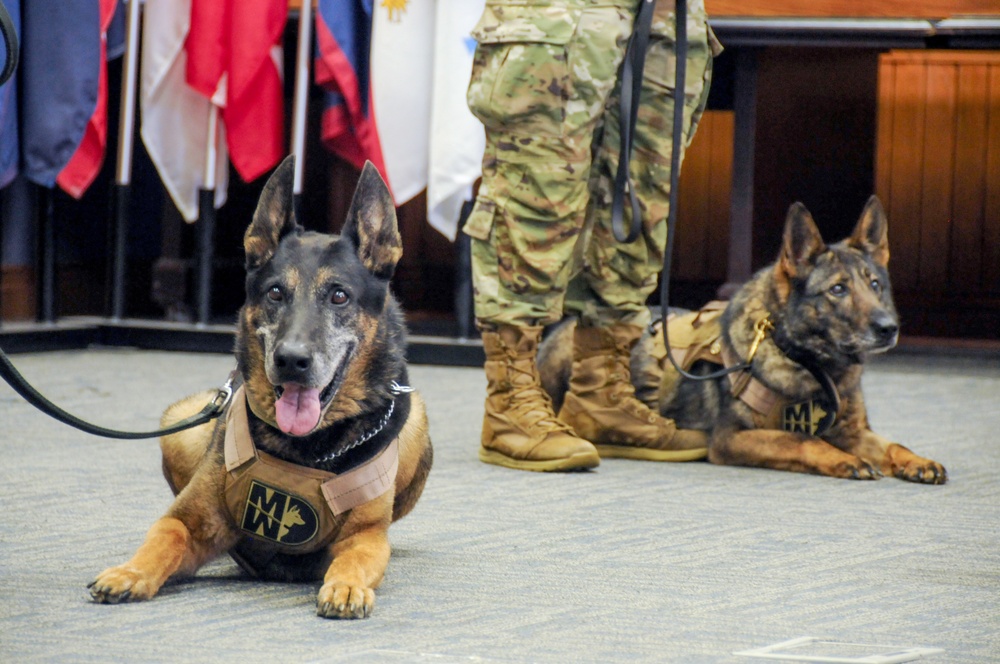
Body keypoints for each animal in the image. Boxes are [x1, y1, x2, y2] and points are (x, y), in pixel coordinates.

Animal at [87, 157, 430, 616]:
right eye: (275, 293)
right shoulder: (187, 518)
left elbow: (354, 559)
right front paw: (130, 571)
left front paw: (346, 586)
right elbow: (164, 537)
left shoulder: (367, 536)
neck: (306, 447)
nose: (291, 361)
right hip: (181, 424)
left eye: (339, 296)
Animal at [540, 197, 944, 482]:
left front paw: (916, 461)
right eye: (838, 290)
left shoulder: (855, 431)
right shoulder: (732, 438)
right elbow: (802, 439)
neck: (809, 363)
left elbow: (894, 444)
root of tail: (566, 324)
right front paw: (843, 460)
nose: (888, 327)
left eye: (875, 285)